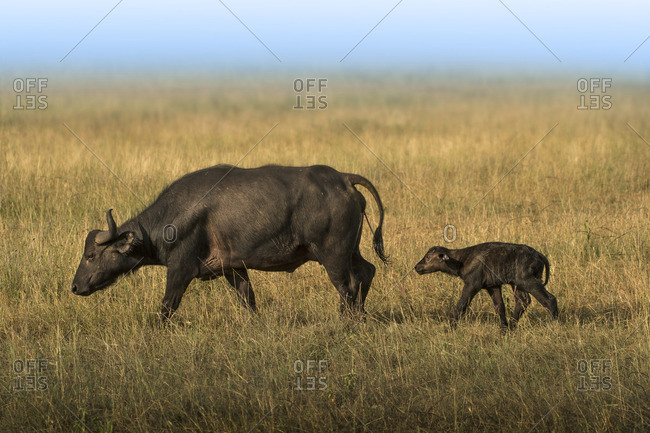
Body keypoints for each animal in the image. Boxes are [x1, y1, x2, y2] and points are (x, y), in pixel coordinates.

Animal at [72, 165, 388, 321]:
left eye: (90, 256)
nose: (75, 287)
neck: (172, 217)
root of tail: (343, 179)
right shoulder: (234, 269)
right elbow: (248, 300)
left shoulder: (180, 269)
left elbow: (167, 306)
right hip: (351, 251)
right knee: (367, 271)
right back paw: (361, 317)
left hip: (333, 256)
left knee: (347, 287)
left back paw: (346, 321)